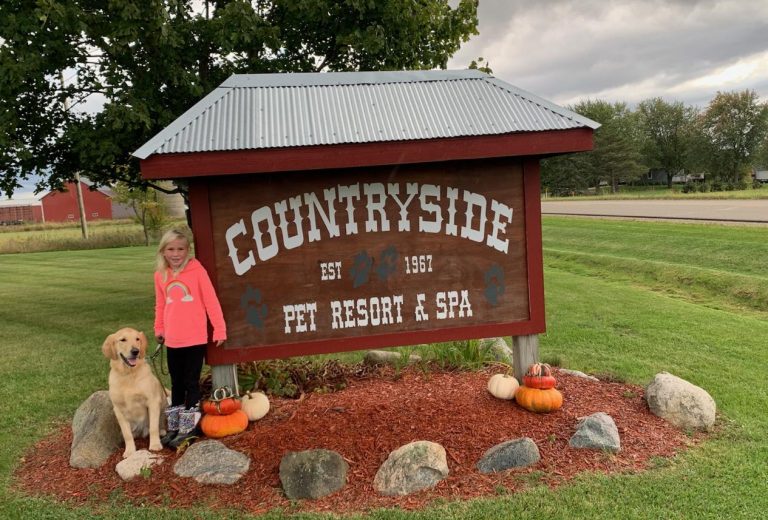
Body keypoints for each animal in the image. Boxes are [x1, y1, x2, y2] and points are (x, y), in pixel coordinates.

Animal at [102, 330, 166, 460]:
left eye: (137, 339)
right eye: (123, 340)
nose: (135, 351)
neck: (128, 374)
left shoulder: (153, 401)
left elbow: (153, 427)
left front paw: (155, 444)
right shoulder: (118, 409)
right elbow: (127, 434)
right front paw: (130, 451)